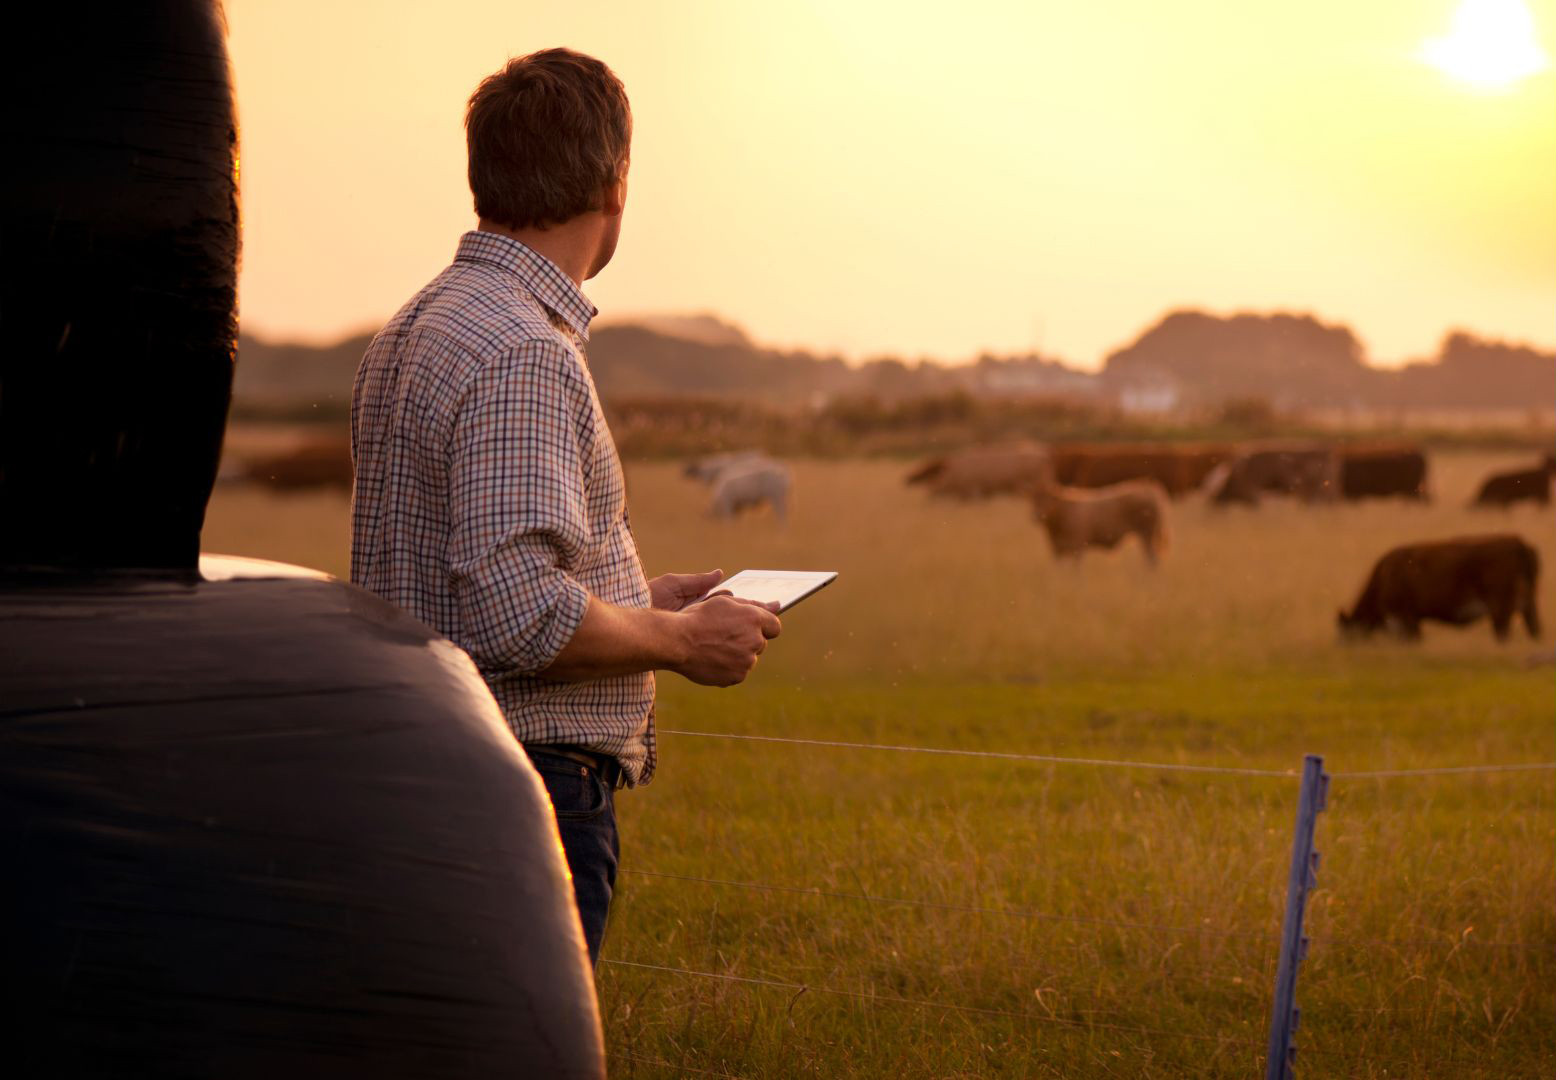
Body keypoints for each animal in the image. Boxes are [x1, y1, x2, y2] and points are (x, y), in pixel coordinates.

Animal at [1029, 479, 1171, 567]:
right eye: (1033, 499)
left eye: (1047, 498)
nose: (1036, 515)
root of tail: (1147, 487)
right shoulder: (1056, 549)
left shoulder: (1078, 546)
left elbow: (1075, 571)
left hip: (1147, 534)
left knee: (1152, 560)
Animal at [1338, 535, 1541, 642]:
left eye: (1345, 635)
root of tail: (1518, 542)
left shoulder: (1404, 617)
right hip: (1527, 604)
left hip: (1500, 607)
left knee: (1503, 631)